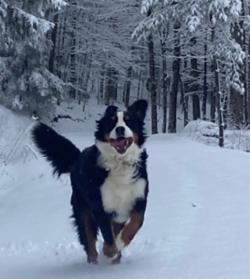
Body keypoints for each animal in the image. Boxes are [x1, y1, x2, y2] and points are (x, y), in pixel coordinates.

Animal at [31, 100, 148, 264]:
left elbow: (136, 223)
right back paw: (94, 262)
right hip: (82, 209)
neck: (120, 163)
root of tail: (78, 158)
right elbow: (107, 234)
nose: (120, 129)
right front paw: (110, 250)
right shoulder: (100, 204)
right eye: (111, 122)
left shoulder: (139, 196)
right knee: (88, 239)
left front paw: (119, 245)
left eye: (129, 121)